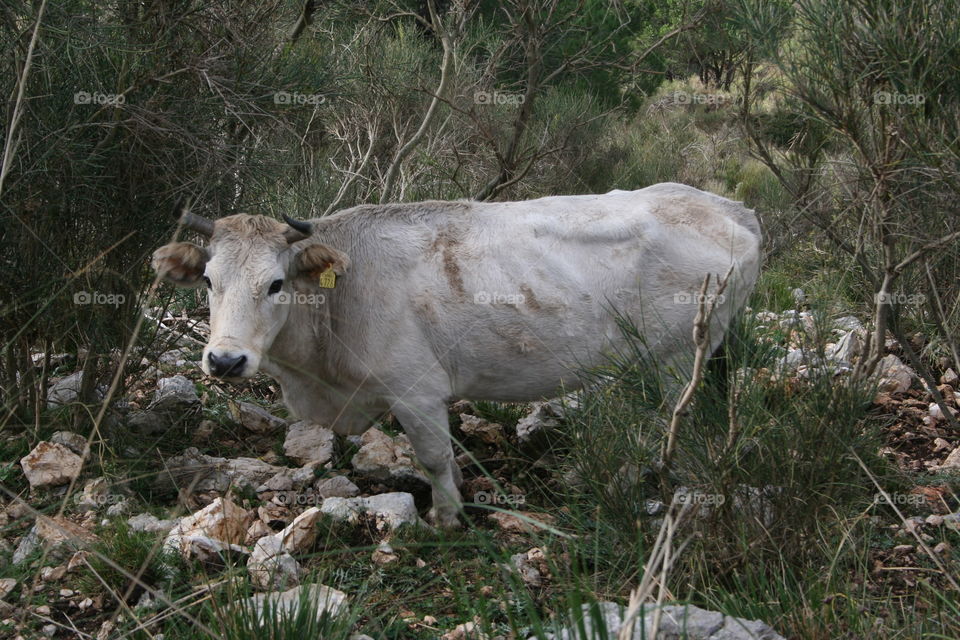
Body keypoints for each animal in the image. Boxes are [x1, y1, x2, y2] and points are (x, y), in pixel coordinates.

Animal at [151, 183, 761, 527]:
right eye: (208, 280)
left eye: (275, 284)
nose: (225, 361)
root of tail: (728, 206)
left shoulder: (415, 391)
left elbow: (434, 456)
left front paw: (445, 517)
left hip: (676, 360)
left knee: (665, 425)